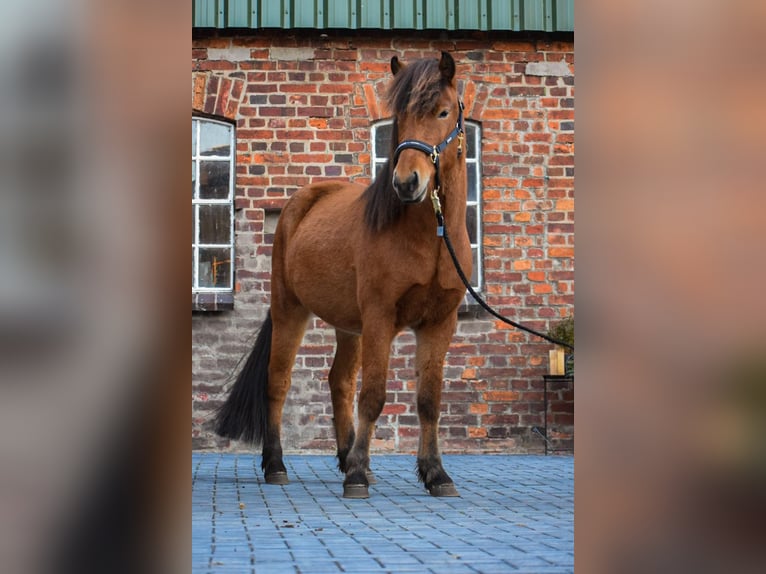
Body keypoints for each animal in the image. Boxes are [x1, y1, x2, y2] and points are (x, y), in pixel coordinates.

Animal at [213, 53, 472, 500]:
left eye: (443, 112)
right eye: (400, 116)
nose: (407, 183)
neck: (431, 238)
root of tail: (298, 204)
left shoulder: (440, 322)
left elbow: (428, 401)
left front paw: (436, 474)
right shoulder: (380, 317)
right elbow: (373, 396)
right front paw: (356, 478)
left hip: (350, 326)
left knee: (339, 382)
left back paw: (348, 457)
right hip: (291, 311)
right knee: (278, 383)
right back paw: (277, 464)